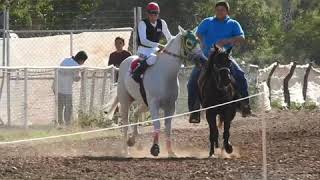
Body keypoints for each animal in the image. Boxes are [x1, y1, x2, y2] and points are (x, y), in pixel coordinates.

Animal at [109, 26, 199, 157]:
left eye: (198, 40)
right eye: (189, 43)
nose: (201, 58)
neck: (165, 75)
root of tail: (125, 61)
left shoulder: (170, 106)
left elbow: (168, 127)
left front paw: (171, 152)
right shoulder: (154, 104)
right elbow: (157, 124)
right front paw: (155, 148)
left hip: (144, 103)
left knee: (135, 113)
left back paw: (132, 140)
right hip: (126, 101)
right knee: (125, 123)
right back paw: (126, 151)